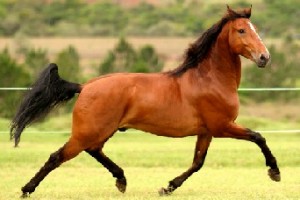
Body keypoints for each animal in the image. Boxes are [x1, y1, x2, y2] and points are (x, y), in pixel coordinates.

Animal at [10, 5, 280, 198]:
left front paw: (167, 187)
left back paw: (121, 180)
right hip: (88, 132)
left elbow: (197, 162)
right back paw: (26, 189)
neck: (209, 79)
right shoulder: (223, 126)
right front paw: (274, 172)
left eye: (255, 28)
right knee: (57, 156)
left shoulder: (207, 131)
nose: (264, 57)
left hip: (101, 131)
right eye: (242, 30)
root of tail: (85, 86)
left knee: (94, 150)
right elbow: (258, 137)